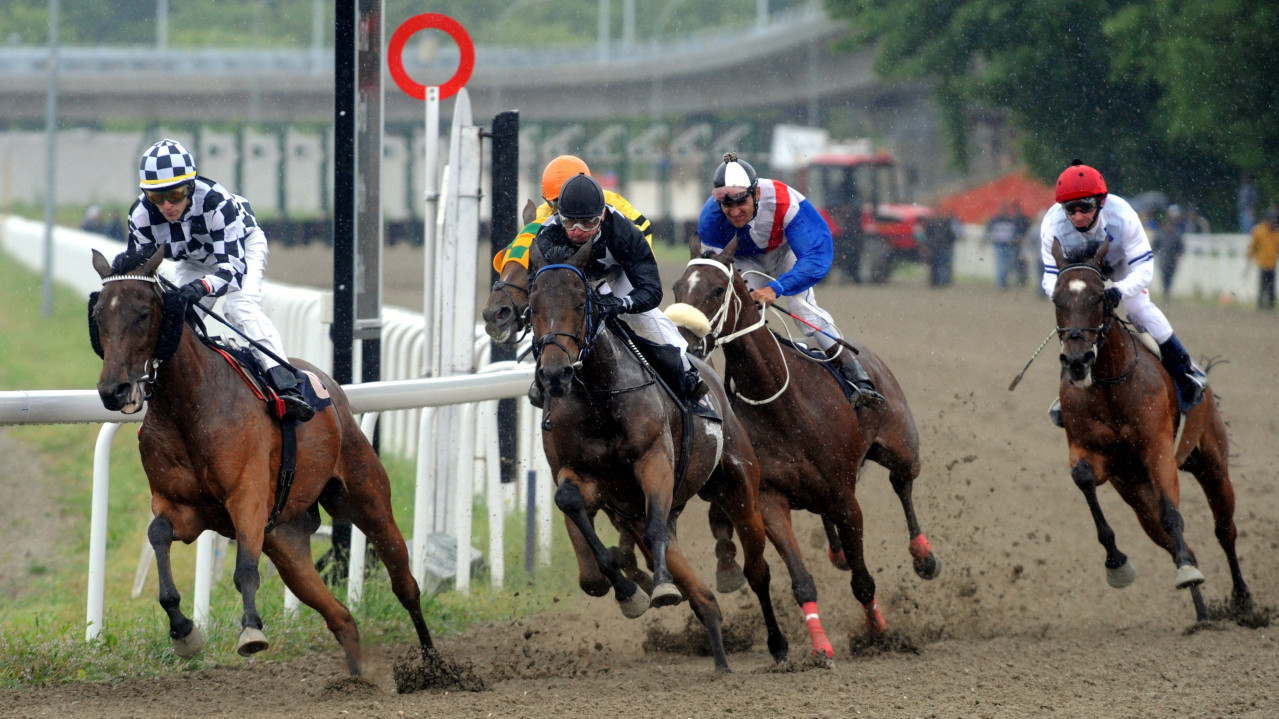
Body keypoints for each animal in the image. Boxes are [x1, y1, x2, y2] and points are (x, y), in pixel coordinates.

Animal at [88, 248, 434, 670]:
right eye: (98, 314)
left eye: (142, 312)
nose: (114, 390)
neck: (189, 404)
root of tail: (330, 386)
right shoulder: (184, 508)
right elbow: (158, 535)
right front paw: (184, 631)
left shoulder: (247, 499)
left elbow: (245, 570)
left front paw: (251, 630)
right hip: (286, 540)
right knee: (340, 616)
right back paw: (357, 674)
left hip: (367, 497)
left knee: (405, 584)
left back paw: (433, 663)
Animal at [524, 237, 782, 670]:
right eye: (534, 303)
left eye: (581, 301)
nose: (555, 374)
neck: (600, 396)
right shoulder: (585, 477)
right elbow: (571, 504)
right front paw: (630, 592)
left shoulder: (654, 463)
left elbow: (656, 530)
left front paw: (659, 587)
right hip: (636, 508)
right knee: (702, 597)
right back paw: (719, 657)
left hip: (739, 483)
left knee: (757, 568)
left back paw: (778, 644)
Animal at [670, 237, 941, 660]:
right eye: (677, 289)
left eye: (716, 290)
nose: (683, 341)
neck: (782, 404)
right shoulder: (770, 498)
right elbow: (800, 579)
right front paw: (819, 646)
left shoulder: (846, 497)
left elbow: (863, 581)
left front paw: (877, 633)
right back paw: (839, 553)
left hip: (901, 446)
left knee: (903, 483)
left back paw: (924, 556)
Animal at [1048, 237, 1248, 619]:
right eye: (1056, 298)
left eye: (1099, 296)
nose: (1077, 360)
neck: (1109, 383)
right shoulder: (1092, 452)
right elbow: (1083, 477)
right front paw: (1117, 564)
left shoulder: (1158, 450)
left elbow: (1173, 513)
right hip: (1136, 493)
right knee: (1172, 542)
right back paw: (1202, 612)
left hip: (1212, 463)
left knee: (1224, 530)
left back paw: (1243, 600)